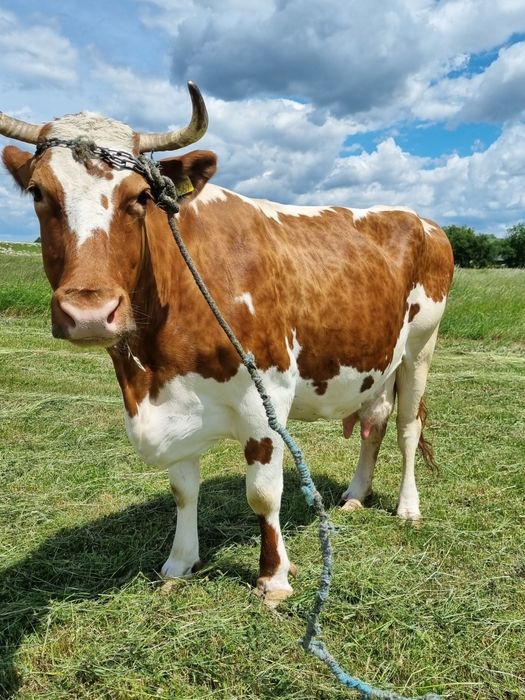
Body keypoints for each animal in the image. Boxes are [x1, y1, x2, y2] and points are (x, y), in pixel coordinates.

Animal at [1, 84, 454, 602]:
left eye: (140, 196)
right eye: (38, 192)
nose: (90, 312)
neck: (149, 369)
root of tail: (417, 218)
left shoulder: (266, 398)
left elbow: (263, 493)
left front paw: (274, 577)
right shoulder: (173, 400)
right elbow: (183, 489)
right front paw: (179, 563)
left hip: (421, 347)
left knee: (406, 427)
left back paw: (407, 507)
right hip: (377, 360)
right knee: (373, 422)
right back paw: (357, 495)